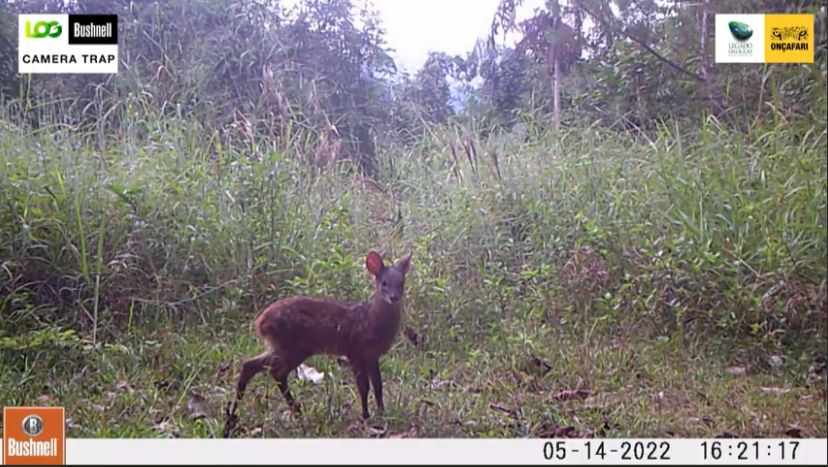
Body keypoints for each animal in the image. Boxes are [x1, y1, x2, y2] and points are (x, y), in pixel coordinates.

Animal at [228, 250, 412, 426]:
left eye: (402, 282)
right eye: (384, 283)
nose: (394, 297)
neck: (371, 322)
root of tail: (260, 323)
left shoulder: (373, 356)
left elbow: (378, 386)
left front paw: (382, 413)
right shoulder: (355, 351)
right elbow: (364, 387)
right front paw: (366, 416)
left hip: (283, 346)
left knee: (253, 366)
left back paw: (234, 416)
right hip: (293, 346)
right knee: (275, 371)